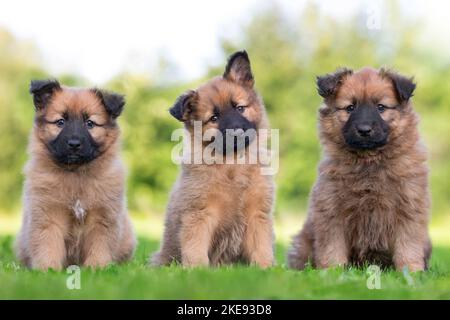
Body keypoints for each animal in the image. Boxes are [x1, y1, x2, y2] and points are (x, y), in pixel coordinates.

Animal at [15, 80, 135, 270]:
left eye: (90, 123)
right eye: (60, 122)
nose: (74, 144)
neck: (76, 174)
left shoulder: (103, 218)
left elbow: (99, 246)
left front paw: (97, 268)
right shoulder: (48, 216)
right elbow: (48, 244)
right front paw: (48, 270)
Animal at [151, 50, 274, 268]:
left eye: (240, 108)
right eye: (214, 118)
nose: (237, 131)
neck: (232, 163)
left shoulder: (257, 214)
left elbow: (261, 247)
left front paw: (266, 268)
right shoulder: (199, 214)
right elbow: (195, 247)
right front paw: (197, 270)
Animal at [288, 67, 432, 272]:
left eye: (381, 107)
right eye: (350, 108)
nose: (364, 130)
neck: (368, 162)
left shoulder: (409, 209)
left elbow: (408, 247)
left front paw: (411, 272)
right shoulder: (331, 210)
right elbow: (332, 248)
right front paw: (332, 272)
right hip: (302, 243)